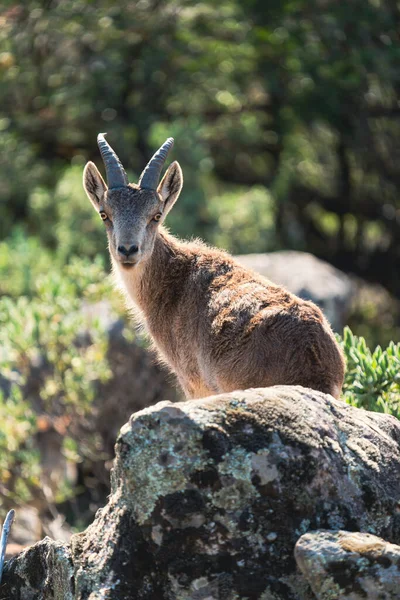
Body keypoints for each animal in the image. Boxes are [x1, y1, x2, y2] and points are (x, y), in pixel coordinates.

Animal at [83, 136, 346, 398]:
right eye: (104, 214)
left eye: (156, 215)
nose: (128, 250)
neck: (172, 281)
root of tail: (313, 360)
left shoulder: (194, 383)